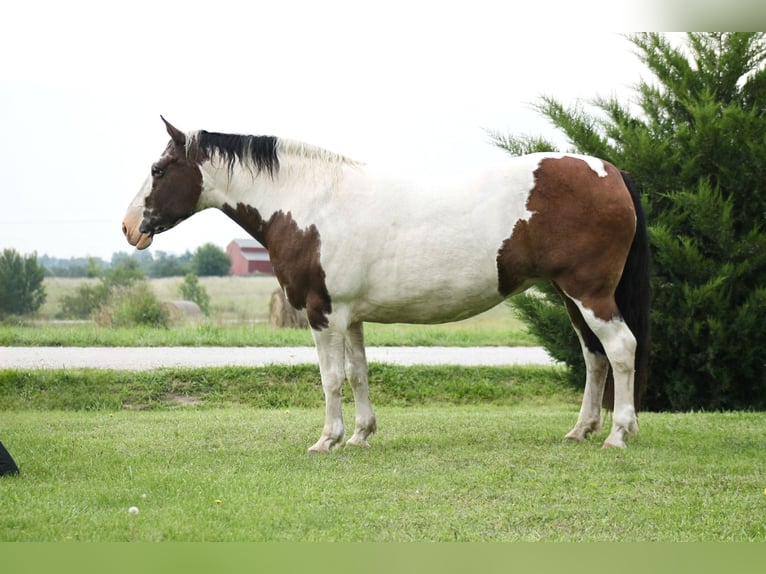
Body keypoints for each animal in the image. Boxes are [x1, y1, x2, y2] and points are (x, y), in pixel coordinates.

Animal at [123, 118, 652, 454]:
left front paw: (327, 440)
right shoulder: (350, 316)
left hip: (589, 294)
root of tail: (611, 171)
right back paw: (581, 430)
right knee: (594, 357)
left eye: (158, 170)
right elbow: (358, 374)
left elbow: (330, 378)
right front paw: (361, 435)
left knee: (621, 349)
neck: (311, 202)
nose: (129, 228)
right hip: (571, 296)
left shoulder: (322, 313)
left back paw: (618, 433)